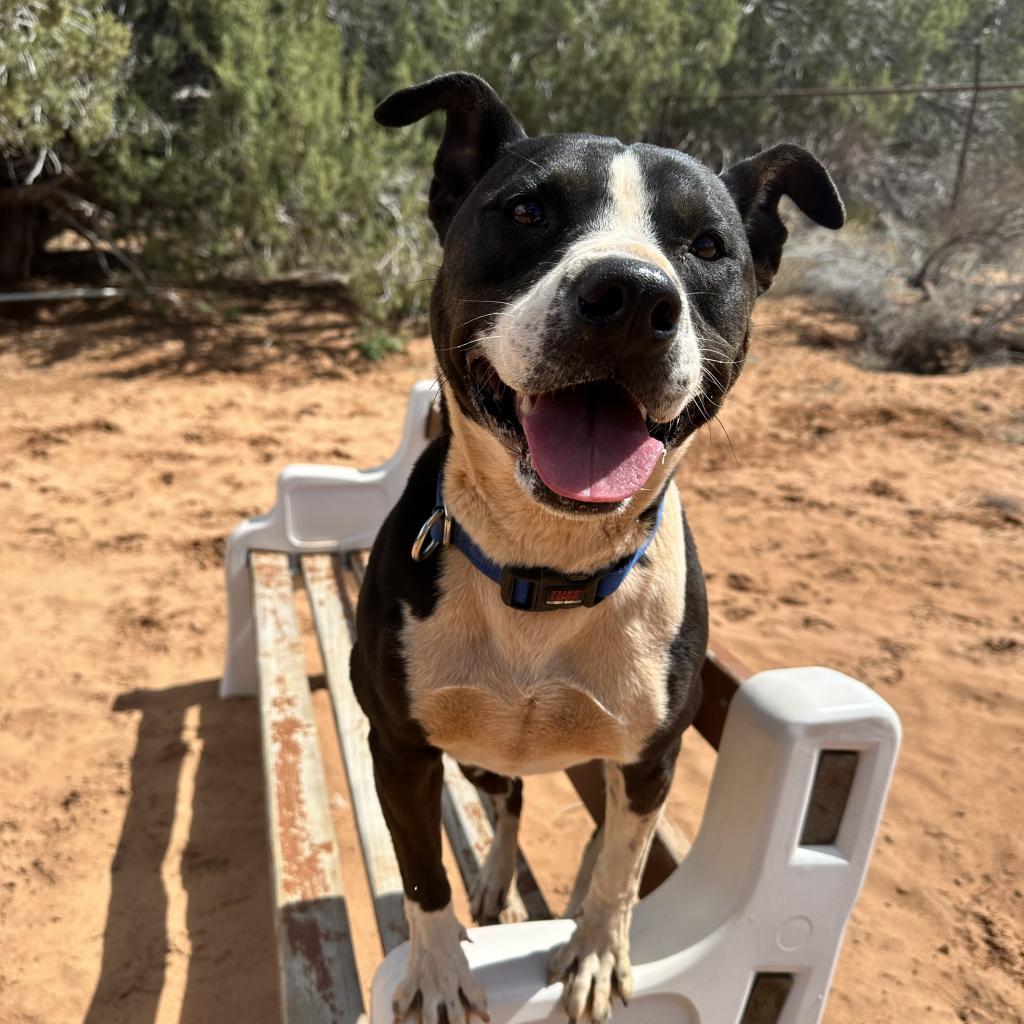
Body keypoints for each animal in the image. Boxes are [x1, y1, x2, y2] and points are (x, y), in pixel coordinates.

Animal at [352, 72, 839, 1024]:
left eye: (707, 244)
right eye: (527, 210)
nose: (632, 296)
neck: (547, 566)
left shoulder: (652, 754)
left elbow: (622, 863)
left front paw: (595, 953)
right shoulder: (399, 745)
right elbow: (424, 874)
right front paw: (439, 972)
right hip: (475, 759)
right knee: (505, 807)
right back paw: (497, 885)